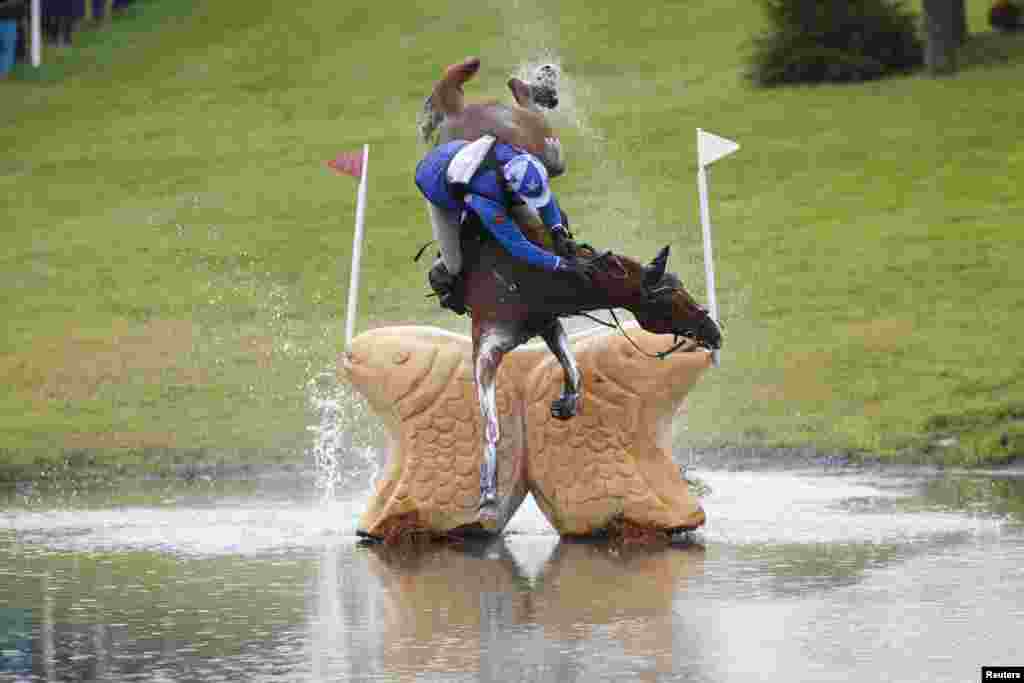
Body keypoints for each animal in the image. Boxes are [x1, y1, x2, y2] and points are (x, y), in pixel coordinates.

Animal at [456, 216, 720, 516]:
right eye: (667, 299)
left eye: (681, 285)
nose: (713, 330)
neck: (531, 276)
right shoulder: (487, 348)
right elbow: (491, 424)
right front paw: (488, 493)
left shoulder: (548, 322)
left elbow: (573, 370)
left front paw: (565, 403)